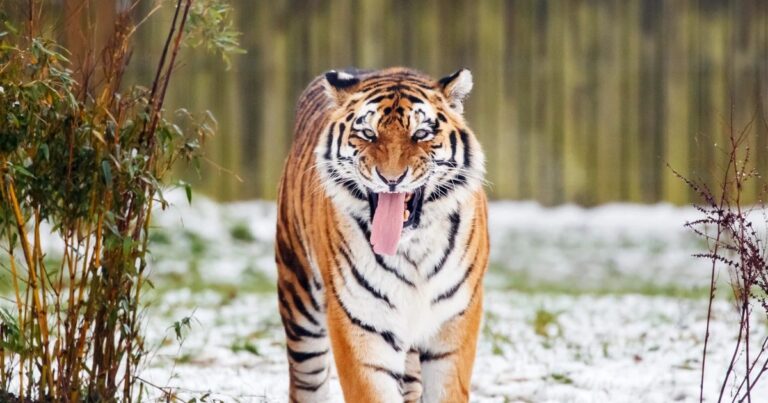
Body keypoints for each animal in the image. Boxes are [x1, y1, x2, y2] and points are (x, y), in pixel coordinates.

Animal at [275, 67, 489, 403]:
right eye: (367, 134)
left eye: (421, 134)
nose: (391, 179)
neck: (413, 249)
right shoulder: (360, 323)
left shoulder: (454, 322)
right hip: (298, 296)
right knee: (306, 381)